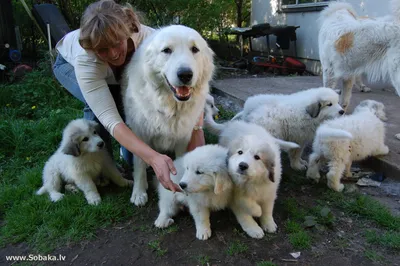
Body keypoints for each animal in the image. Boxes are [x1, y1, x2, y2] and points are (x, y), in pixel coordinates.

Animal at [122, 25, 216, 207]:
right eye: (166, 50)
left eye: (194, 49)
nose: (185, 74)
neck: (170, 106)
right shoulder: (140, 133)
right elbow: (139, 165)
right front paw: (139, 192)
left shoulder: (182, 137)